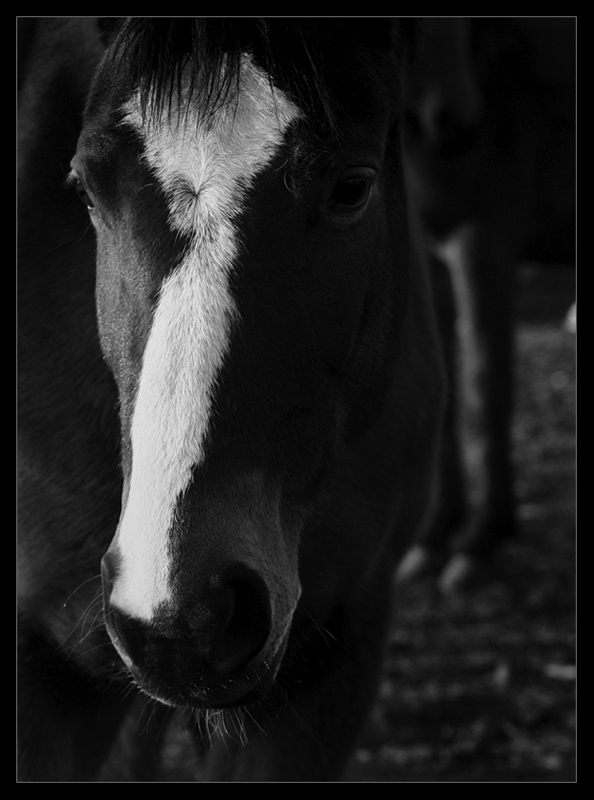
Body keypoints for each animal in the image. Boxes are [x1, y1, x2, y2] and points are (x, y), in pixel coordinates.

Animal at [396, 15, 576, 592]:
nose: (456, 126)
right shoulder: (432, 260)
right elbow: (448, 394)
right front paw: (434, 536)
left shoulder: (483, 246)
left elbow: (486, 391)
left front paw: (482, 539)